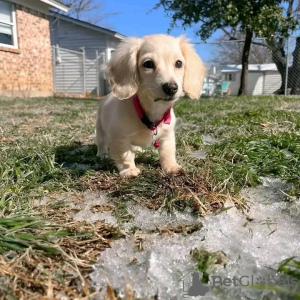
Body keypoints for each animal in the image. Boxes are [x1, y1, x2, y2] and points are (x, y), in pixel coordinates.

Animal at [96, 34, 206, 177]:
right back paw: (102, 154)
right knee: (101, 142)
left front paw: (171, 167)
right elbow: (125, 155)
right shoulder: (119, 138)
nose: (171, 88)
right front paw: (129, 170)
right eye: (148, 64)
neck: (153, 110)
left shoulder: (167, 136)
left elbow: (167, 153)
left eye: (179, 63)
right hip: (100, 129)